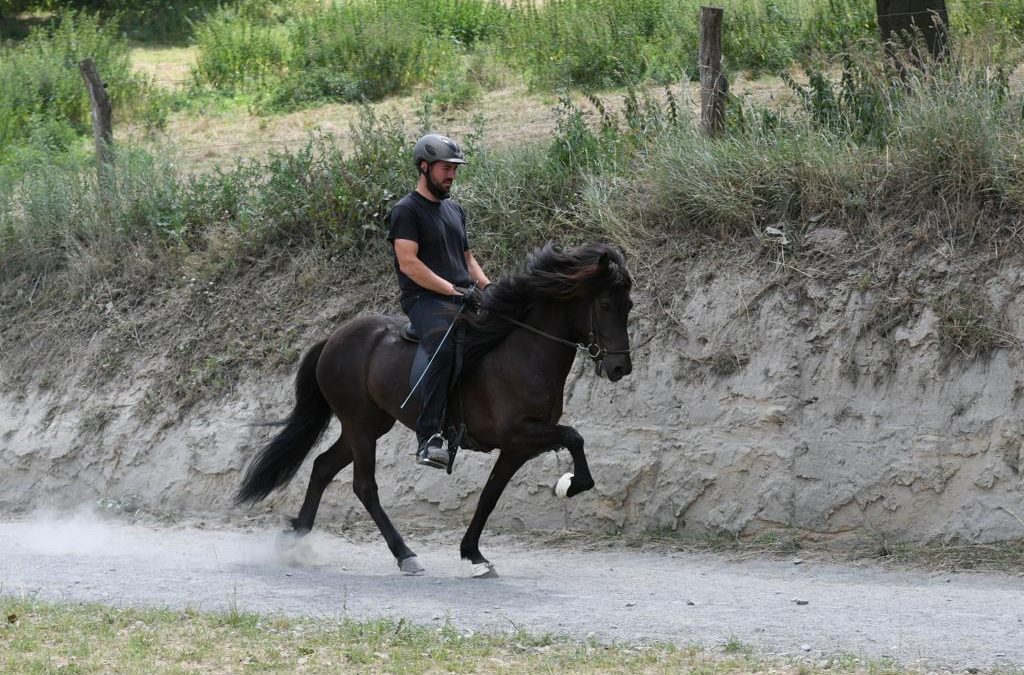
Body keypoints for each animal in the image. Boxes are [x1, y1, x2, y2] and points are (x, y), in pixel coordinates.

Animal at [237, 241, 630, 577]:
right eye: (606, 305)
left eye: (628, 306)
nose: (620, 368)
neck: (523, 352)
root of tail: (334, 337)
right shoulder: (520, 432)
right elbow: (574, 437)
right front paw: (570, 485)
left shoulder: (518, 447)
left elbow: (490, 495)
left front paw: (474, 555)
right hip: (359, 424)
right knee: (364, 486)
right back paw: (405, 555)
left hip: (369, 424)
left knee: (321, 467)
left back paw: (295, 539)